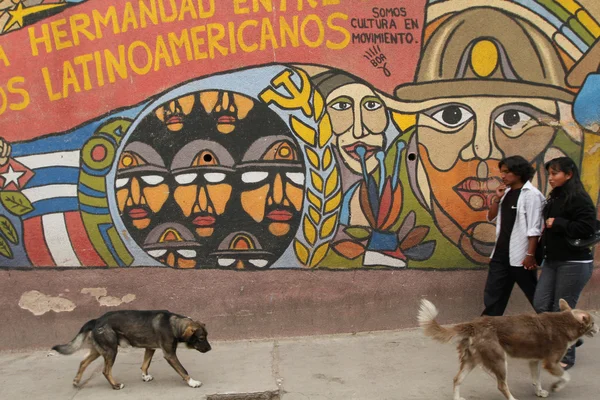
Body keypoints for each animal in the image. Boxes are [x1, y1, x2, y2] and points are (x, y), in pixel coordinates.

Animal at [52, 310, 211, 390]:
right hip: (111, 350)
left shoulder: (150, 348)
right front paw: (192, 382)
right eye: (201, 338)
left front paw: (145, 376)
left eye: (207, 336)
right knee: (105, 371)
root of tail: (96, 320)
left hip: (100, 350)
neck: (174, 324)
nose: (210, 349)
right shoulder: (170, 355)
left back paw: (76, 381)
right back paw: (115, 385)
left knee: (83, 362)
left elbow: (145, 364)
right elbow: (183, 370)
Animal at [420, 300, 596, 400]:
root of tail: (473, 324)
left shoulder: (534, 361)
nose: (598, 330)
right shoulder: (551, 363)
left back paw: (457, 398)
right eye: (593, 323)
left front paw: (539, 391)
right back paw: (512, 398)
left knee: (457, 379)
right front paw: (557, 386)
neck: (565, 322)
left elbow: (536, 379)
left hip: (471, 360)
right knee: (501, 385)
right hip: (499, 360)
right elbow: (566, 376)